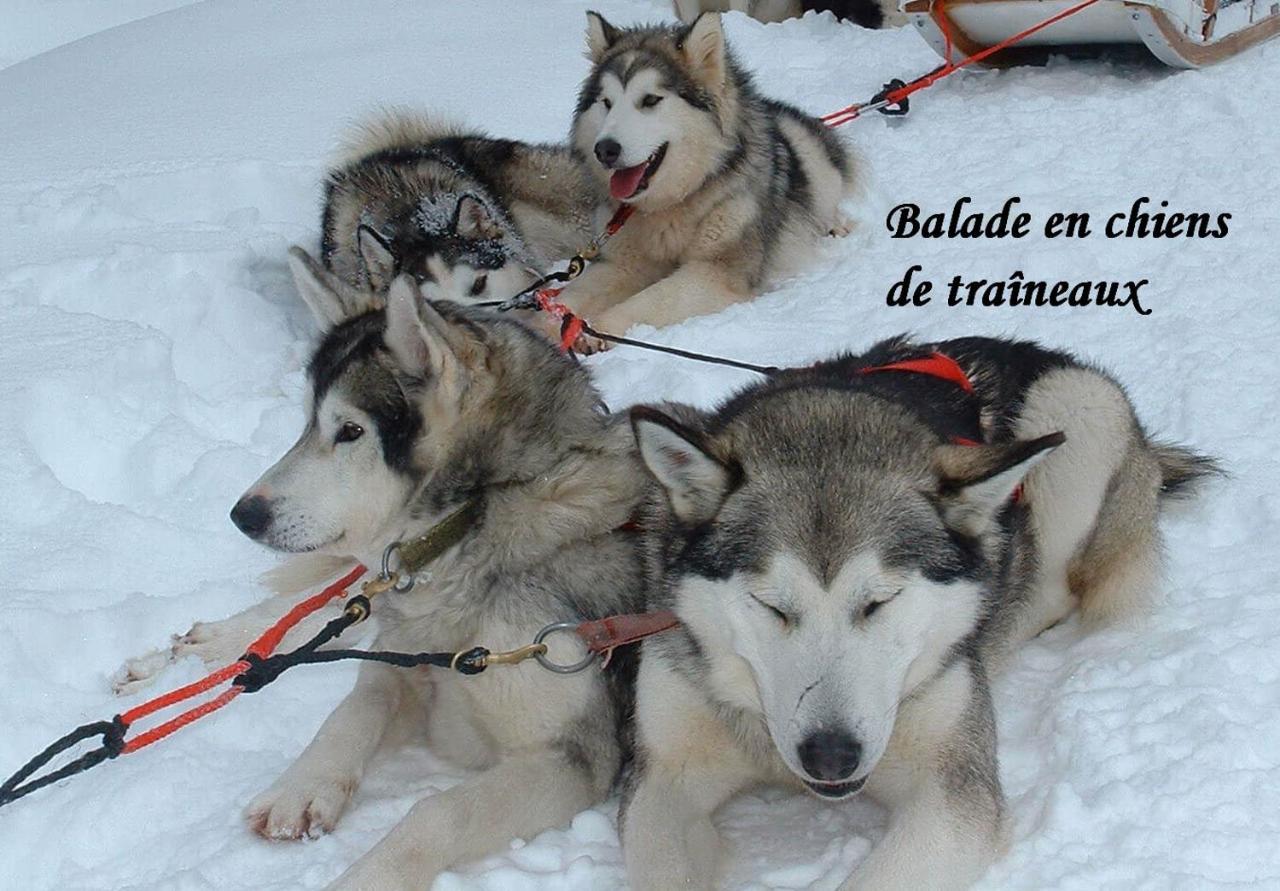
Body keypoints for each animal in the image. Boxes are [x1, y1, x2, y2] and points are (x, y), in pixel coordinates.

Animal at [122, 257, 650, 885]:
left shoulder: (572, 753)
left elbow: (438, 811)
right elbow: (355, 705)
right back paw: (223, 642)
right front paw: (302, 786)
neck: (479, 517)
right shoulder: (400, 664)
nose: (243, 514)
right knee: (331, 595)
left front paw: (364, 877)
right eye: (306, 425)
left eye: (350, 430)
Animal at [565, 13, 855, 345]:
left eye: (650, 100)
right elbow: (571, 295)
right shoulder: (624, 261)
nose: (605, 149)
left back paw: (838, 224)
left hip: (808, 156)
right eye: (606, 102)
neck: (672, 204)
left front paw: (597, 328)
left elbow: (650, 300)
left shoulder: (714, 272)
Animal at [624, 335, 1213, 891]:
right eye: (770, 604)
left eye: (880, 601)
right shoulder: (662, 778)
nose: (830, 755)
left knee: (1051, 587)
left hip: (1078, 405)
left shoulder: (952, 793)